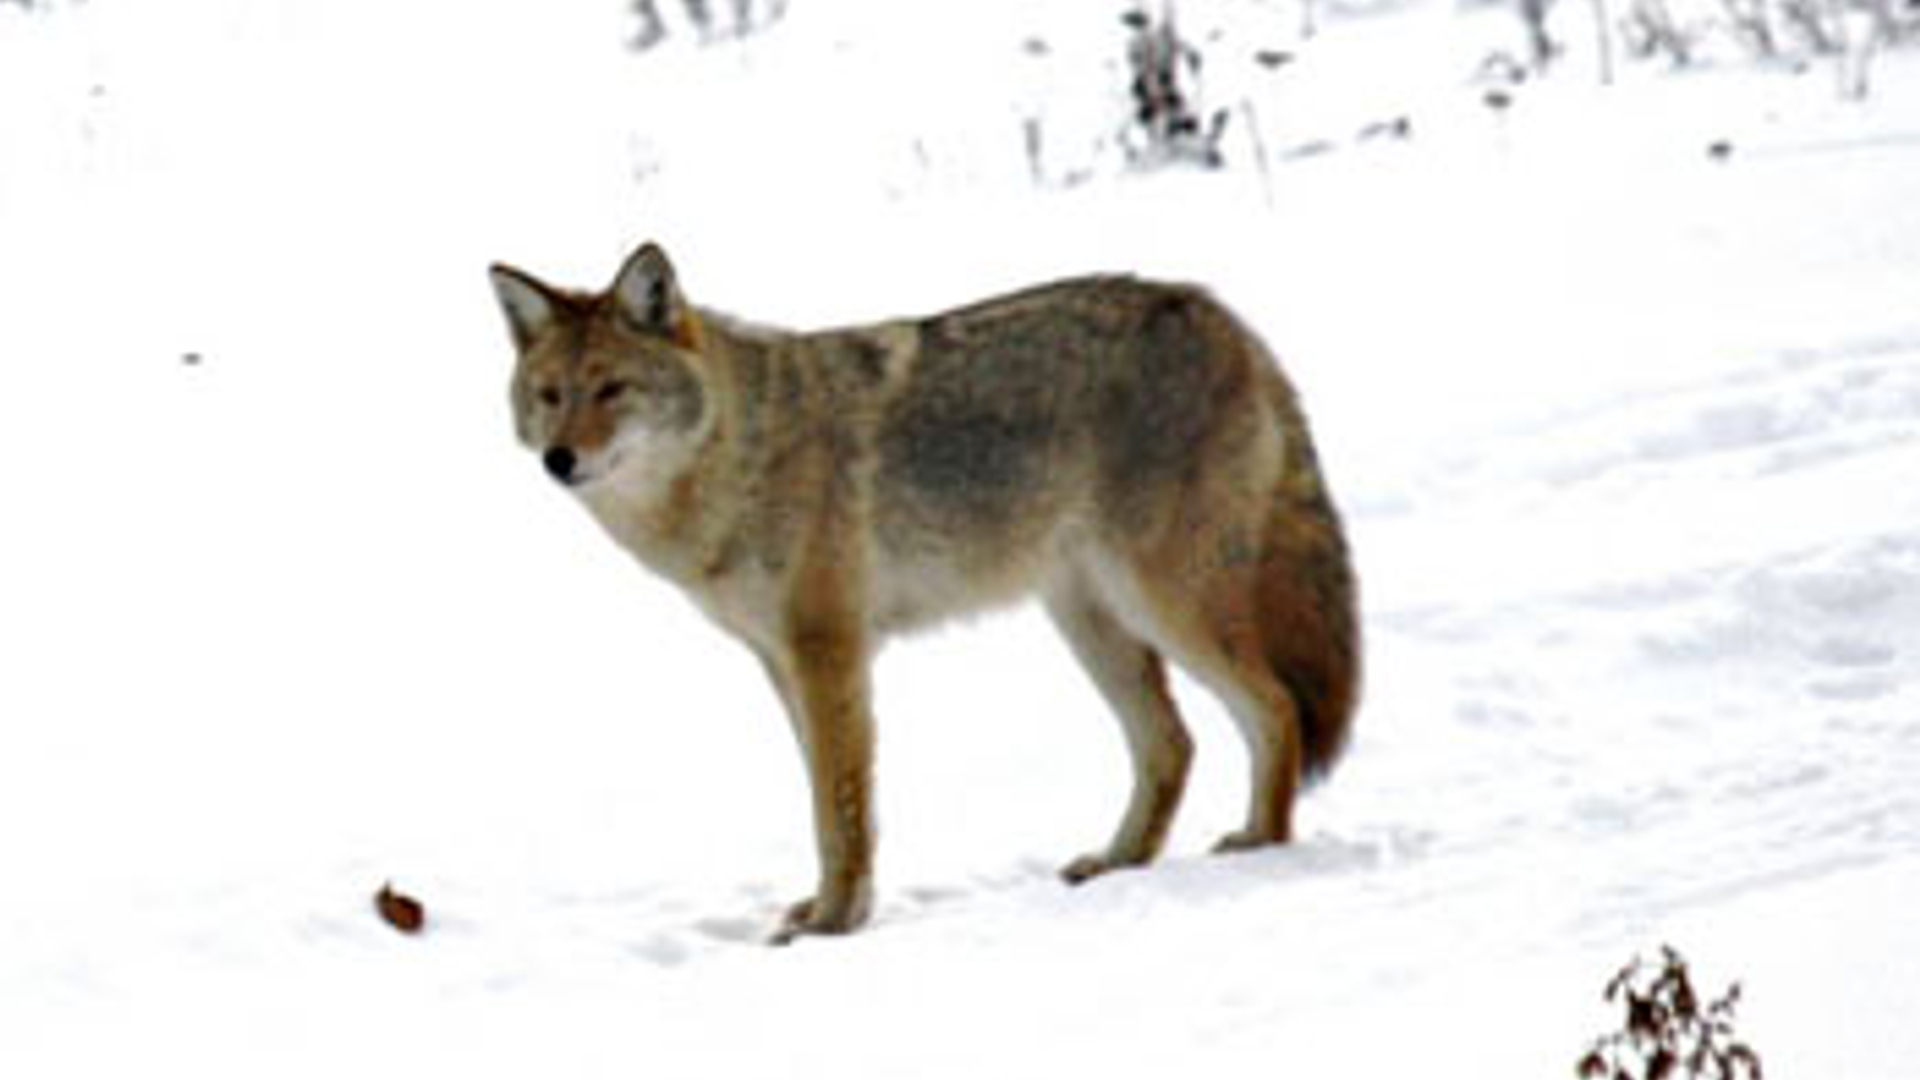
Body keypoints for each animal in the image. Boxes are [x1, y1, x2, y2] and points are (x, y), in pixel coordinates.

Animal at [489, 240, 1360, 943]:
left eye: (612, 389)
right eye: (550, 395)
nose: (559, 460)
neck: (737, 456)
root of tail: (1223, 317)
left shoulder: (830, 654)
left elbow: (840, 810)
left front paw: (835, 922)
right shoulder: (783, 664)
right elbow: (825, 805)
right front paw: (822, 910)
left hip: (1166, 604)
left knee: (1275, 708)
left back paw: (1258, 849)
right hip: (1089, 619)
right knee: (1173, 743)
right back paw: (1117, 863)